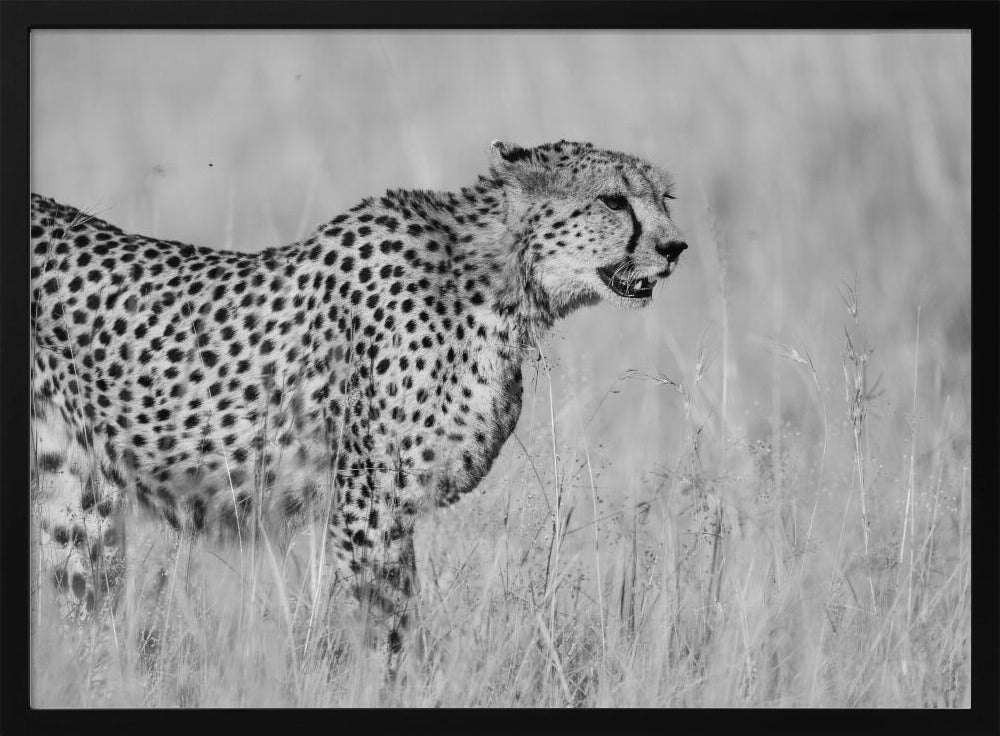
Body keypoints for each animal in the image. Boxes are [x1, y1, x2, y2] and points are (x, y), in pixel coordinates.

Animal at [29, 139, 688, 665]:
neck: (499, 280)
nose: (675, 247)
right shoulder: (368, 504)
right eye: (613, 201)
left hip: (73, 494)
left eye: (664, 197)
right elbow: (388, 627)